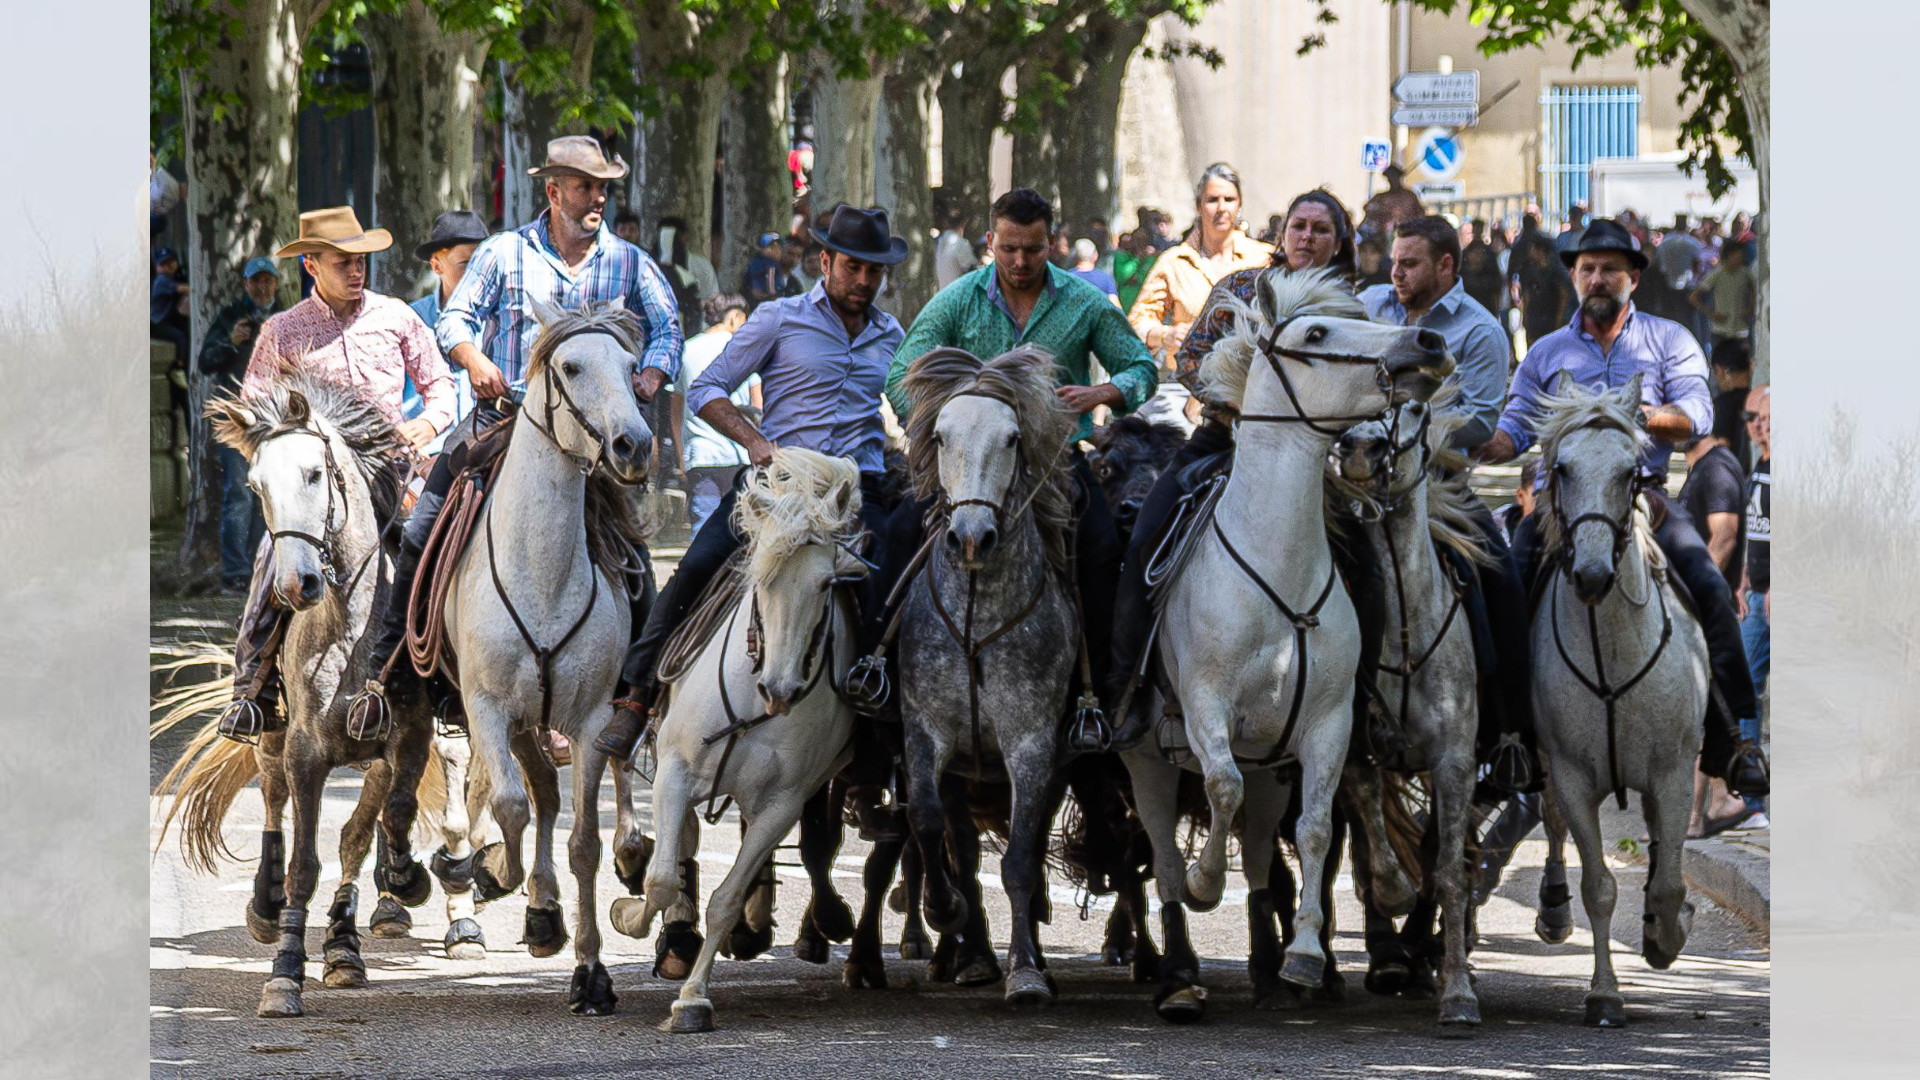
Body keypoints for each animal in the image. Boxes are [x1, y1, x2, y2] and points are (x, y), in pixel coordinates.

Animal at [439, 297, 656, 1014]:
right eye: (571, 366)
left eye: (632, 366)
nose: (634, 445)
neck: (541, 573)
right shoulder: (485, 708)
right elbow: (509, 806)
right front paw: (491, 874)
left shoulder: (588, 719)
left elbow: (584, 839)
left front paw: (591, 971)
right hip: (518, 720)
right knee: (533, 794)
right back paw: (528, 900)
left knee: (586, 792)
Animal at [610, 443, 867, 1022]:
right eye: (763, 578)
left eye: (826, 583)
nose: (781, 688)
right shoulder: (675, 772)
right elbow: (661, 879)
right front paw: (628, 915)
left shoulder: (782, 803)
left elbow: (726, 898)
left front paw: (693, 998)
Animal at [1121, 265, 1443, 1014]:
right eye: (1317, 333)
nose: (1428, 341)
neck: (1278, 570)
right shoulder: (1206, 709)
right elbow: (1220, 787)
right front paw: (1208, 884)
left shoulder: (1327, 725)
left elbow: (1317, 827)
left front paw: (1305, 955)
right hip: (1146, 759)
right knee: (1164, 857)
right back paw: (1179, 973)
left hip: (1274, 763)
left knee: (1267, 849)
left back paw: (1270, 964)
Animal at [1328, 395, 1489, 1022]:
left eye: (1416, 409)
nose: (1358, 448)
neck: (1405, 635)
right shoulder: (1351, 744)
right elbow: (1369, 822)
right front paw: (1394, 895)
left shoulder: (1454, 763)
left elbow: (1446, 869)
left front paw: (1459, 992)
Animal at [1528, 376, 1712, 1022]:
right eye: (1562, 468)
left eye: (1631, 472)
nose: (1589, 574)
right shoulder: (1572, 774)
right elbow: (1599, 886)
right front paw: (1605, 994)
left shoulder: (1674, 771)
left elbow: (1670, 881)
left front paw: (1665, 937)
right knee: (1552, 823)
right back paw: (1554, 909)